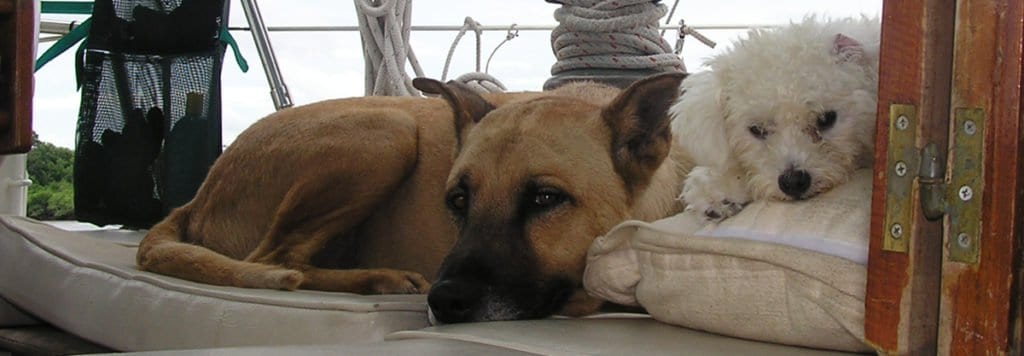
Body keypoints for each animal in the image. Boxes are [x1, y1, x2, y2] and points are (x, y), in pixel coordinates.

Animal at [136, 71, 692, 323]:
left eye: (545, 199)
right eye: (457, 201)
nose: (444, 301)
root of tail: (199, 193)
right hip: (388, 130)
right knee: (273, 258)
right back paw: (378, 278)